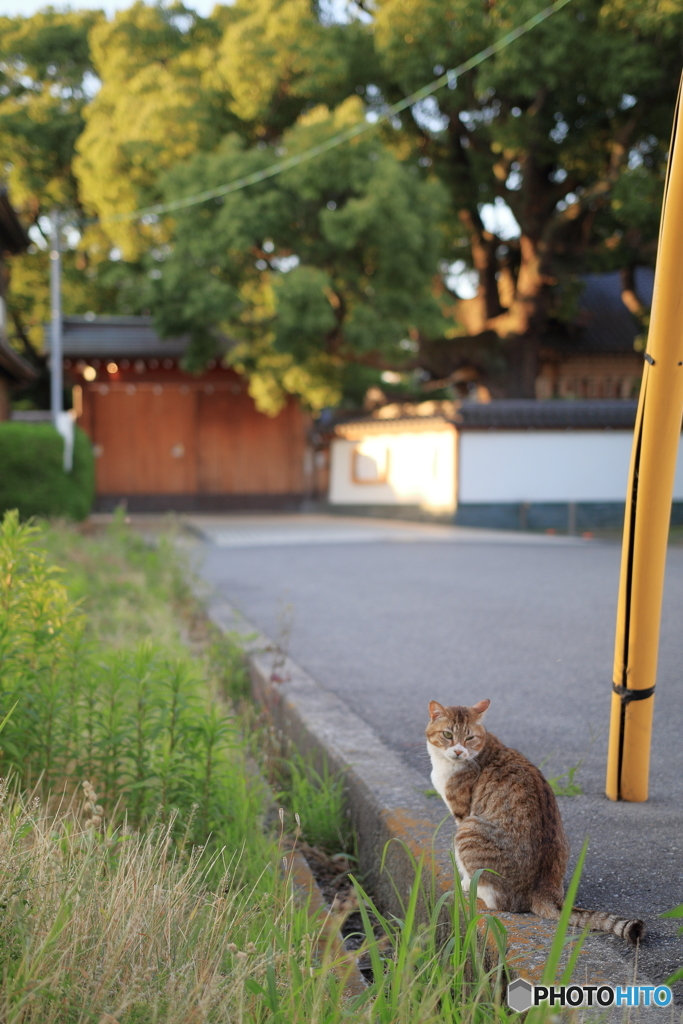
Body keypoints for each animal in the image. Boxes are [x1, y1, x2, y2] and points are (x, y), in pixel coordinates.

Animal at [428, 696, 647, 942]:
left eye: (469, 738)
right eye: (447, 735)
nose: (458, 751)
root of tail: (542, 890)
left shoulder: (462, 813)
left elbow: (463, 864)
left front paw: (466, 882)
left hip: (468, 828)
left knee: (500, 901)